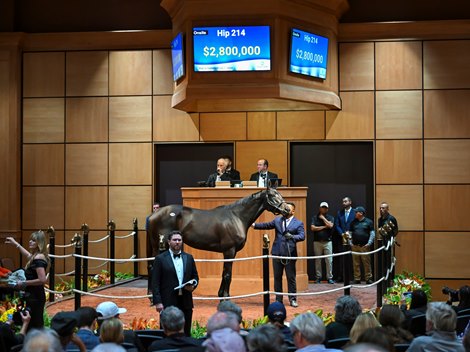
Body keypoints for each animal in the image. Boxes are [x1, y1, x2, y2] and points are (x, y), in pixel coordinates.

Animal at [147, 188, 290, 298]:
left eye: (279, 194)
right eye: (272, 196)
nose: (287, 209)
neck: (236, 217)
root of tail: (154, 214)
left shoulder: (230, 252)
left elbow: (224, 273)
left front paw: (221, 294)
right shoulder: (229, 251)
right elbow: (227, 274)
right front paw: (226, 296)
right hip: (161, 245)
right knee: (154, 267)